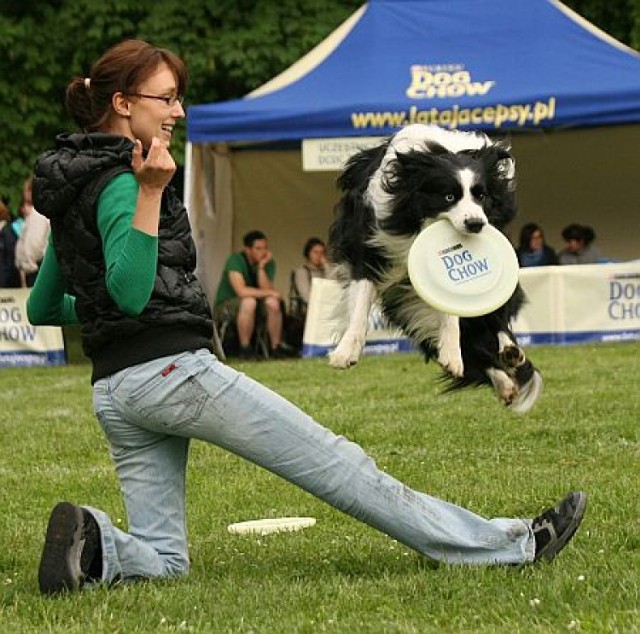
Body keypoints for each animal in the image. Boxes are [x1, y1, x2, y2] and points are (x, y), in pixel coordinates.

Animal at [328, 124, 544, 410]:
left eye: (482, 196)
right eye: (449, 196)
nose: (476, 224)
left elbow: (455, 311)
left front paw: (451, 355)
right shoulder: (369, 245)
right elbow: (360, 305)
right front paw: (345, 352)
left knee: (495, 322)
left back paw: (508, 354)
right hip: (409, 307)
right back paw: (505, 383)